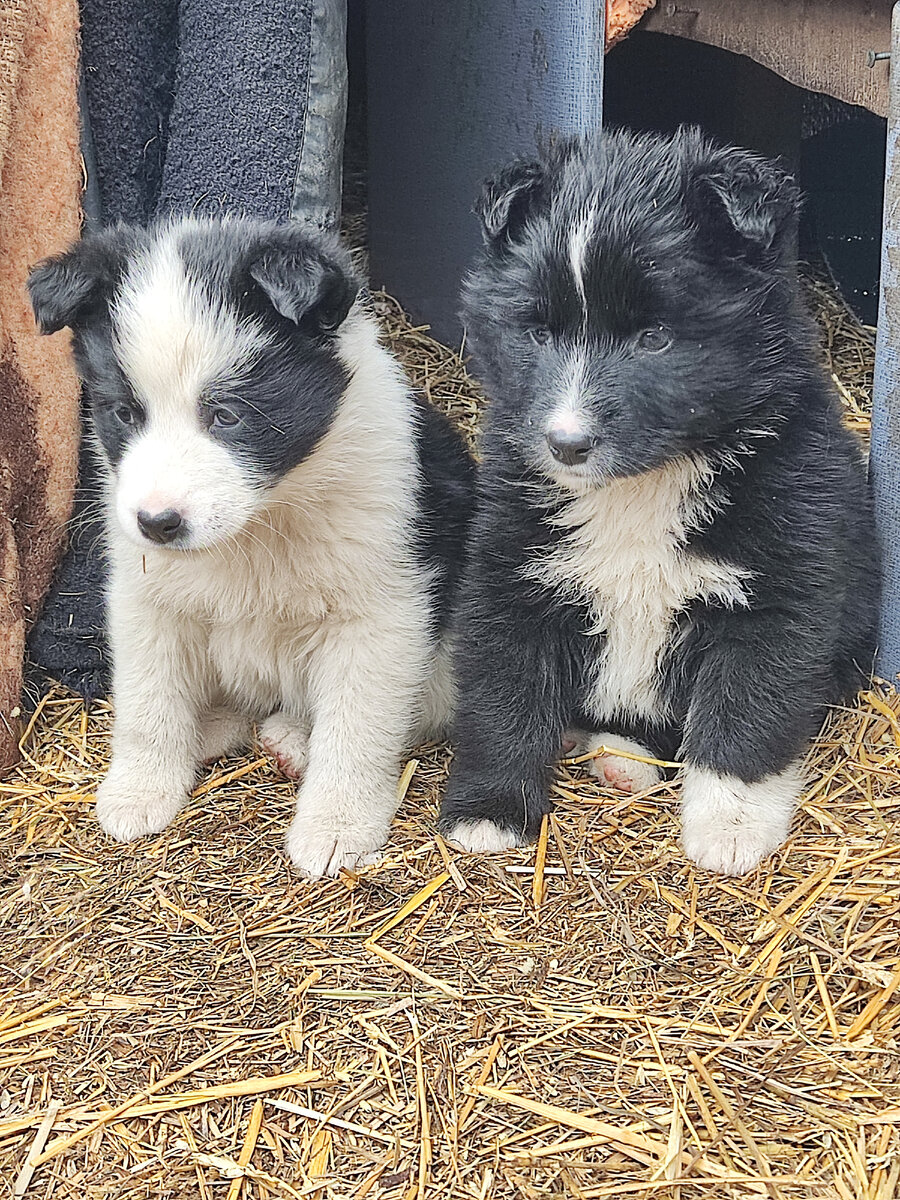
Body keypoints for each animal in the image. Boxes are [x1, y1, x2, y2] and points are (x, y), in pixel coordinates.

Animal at [30, 216, 475, 878]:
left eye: (227, 416)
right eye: (124, 413)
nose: (157, 523)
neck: (259, 523)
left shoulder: (382, 615)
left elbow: (358, 726)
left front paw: (337, 828)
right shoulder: (145, 597)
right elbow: (148, 702)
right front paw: (140, 790)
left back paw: (292, 738)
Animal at [441, 131, 883, 878]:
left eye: (654, 338)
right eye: (538, 333)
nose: (566, 444)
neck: (642, 488)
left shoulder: (776, 600)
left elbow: (745, 717)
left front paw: (730, 827)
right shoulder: (512, 576)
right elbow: (503, 698)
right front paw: (487, 811)